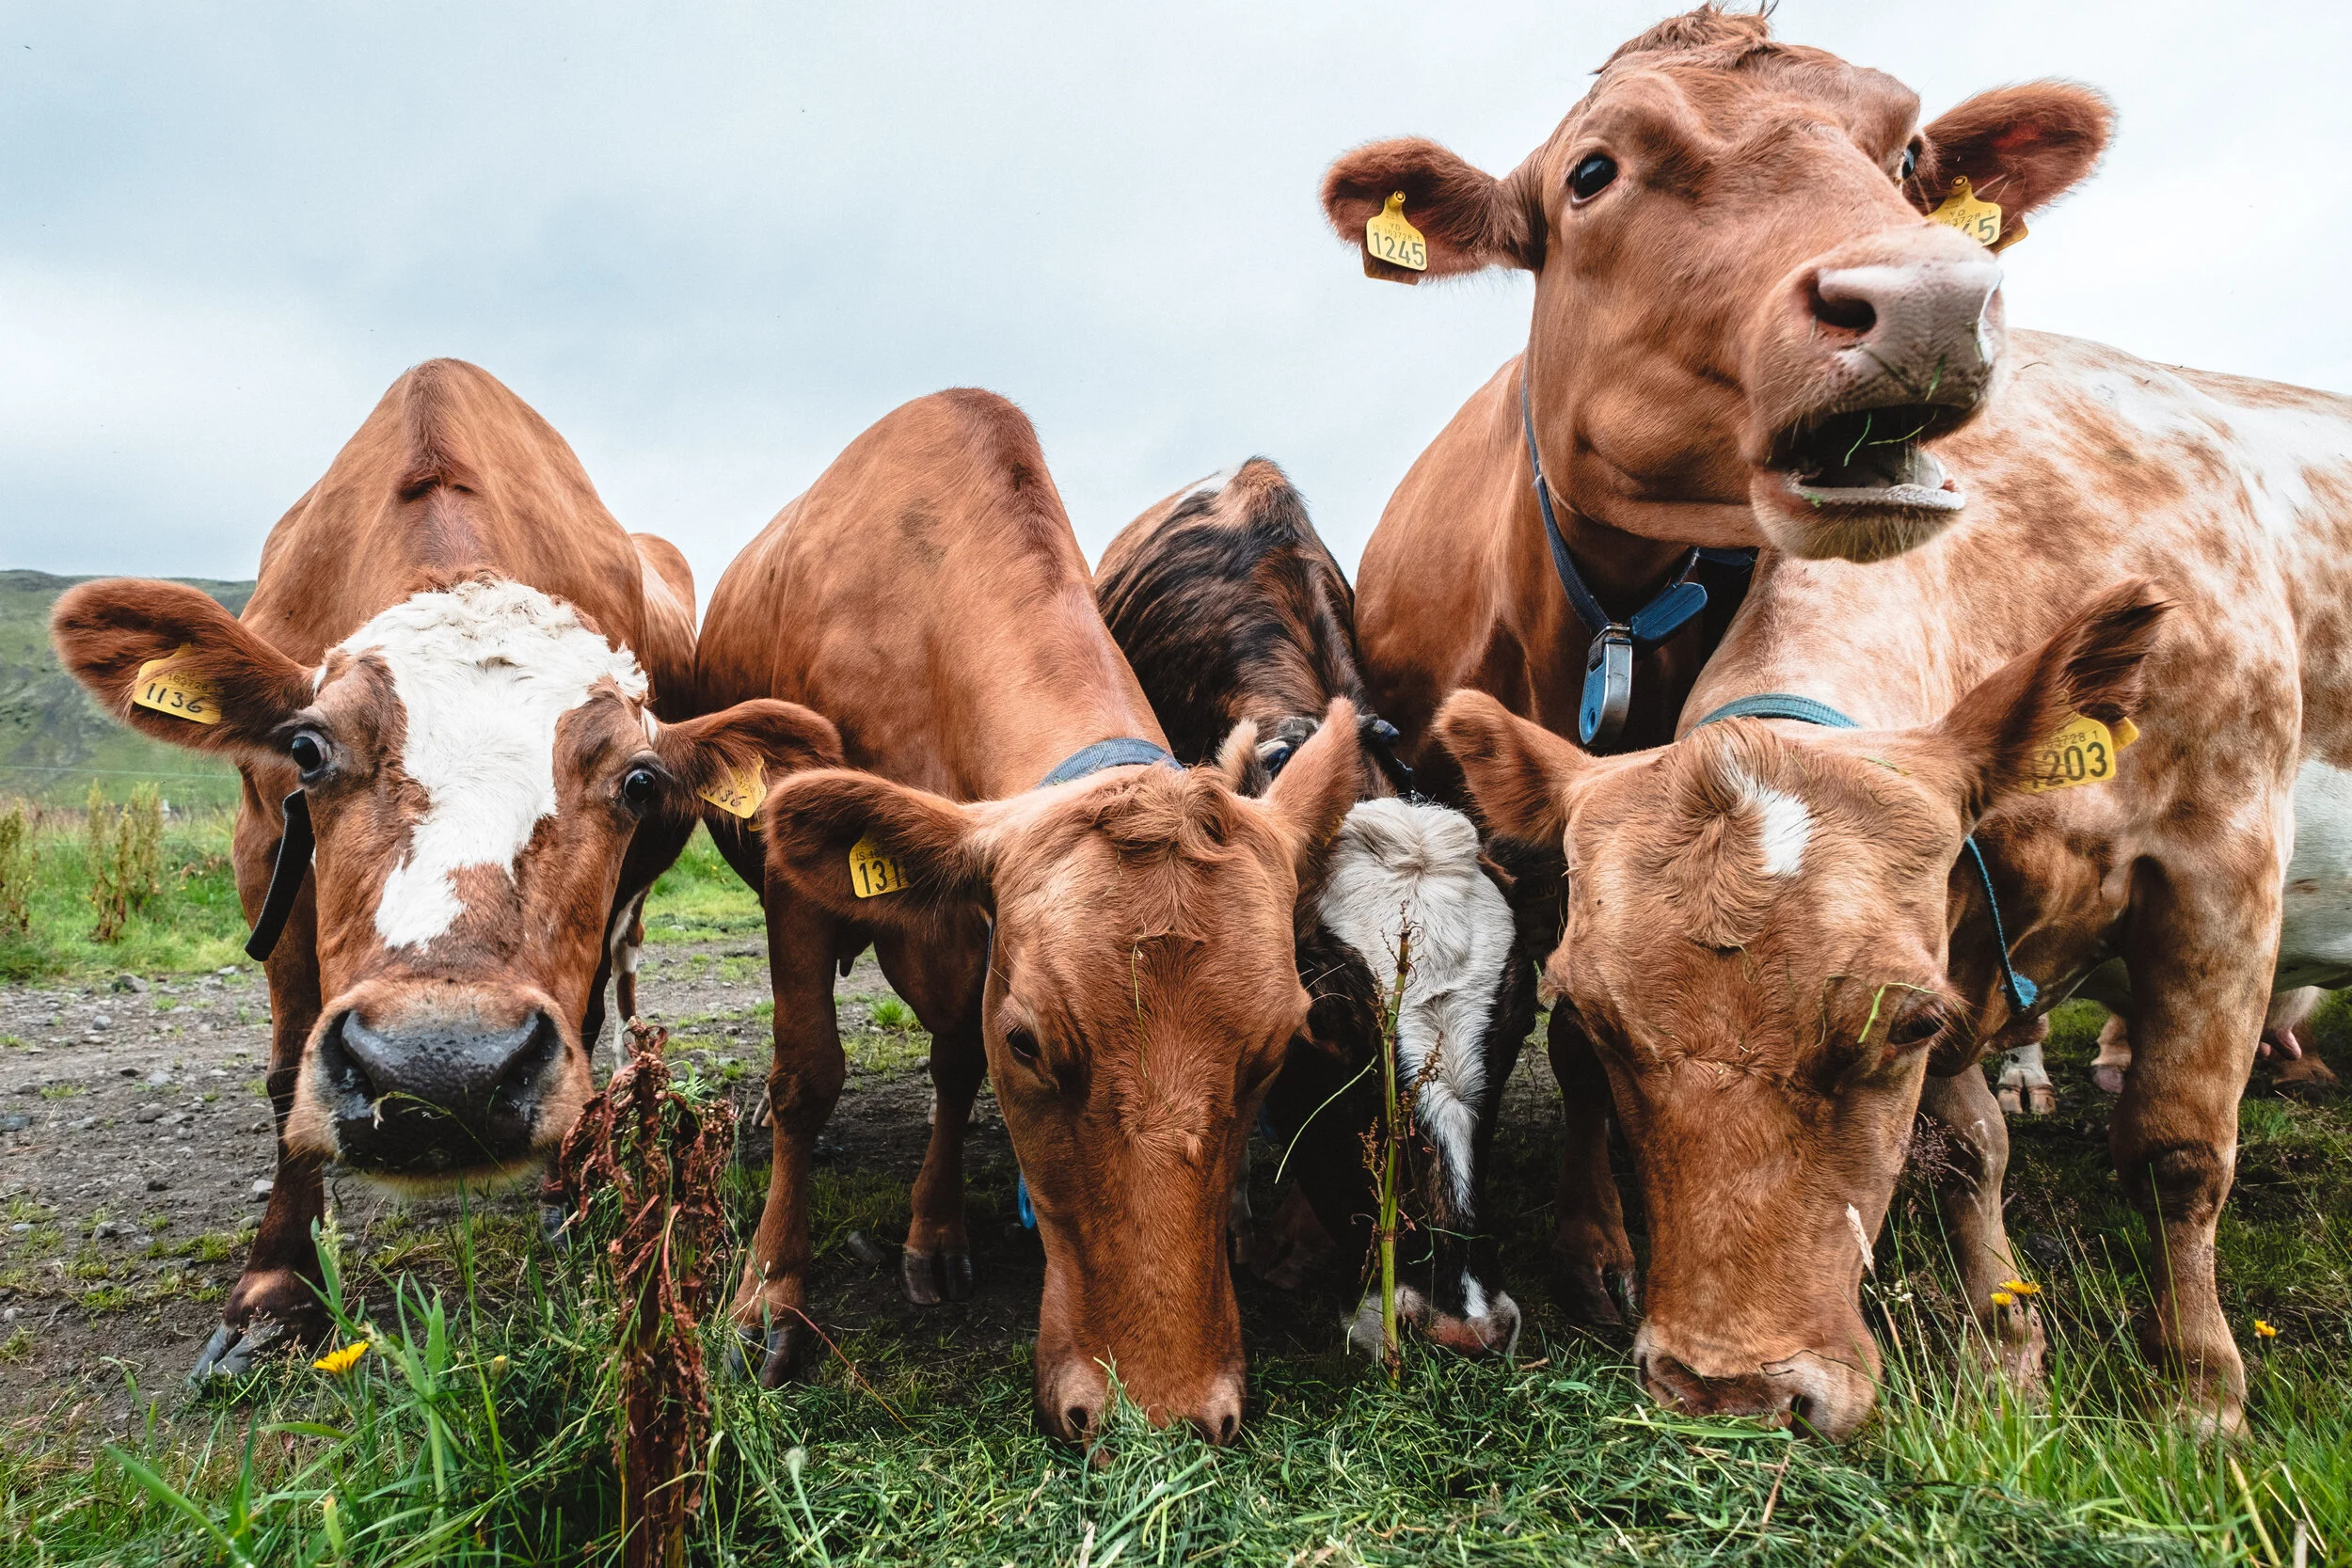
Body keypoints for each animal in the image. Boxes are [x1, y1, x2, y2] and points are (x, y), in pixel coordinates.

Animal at [49, 359, 840, 1378]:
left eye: (635, 779)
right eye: (306, 748)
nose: (440, 1070)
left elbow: (581, 1017)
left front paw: (566, 1194)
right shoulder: (264, 847)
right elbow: (287, 1067)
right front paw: (274, 1286)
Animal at [693, 391, 1366, 1444]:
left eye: (1274, 1052)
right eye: (1031, 1043)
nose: (1159, 1415)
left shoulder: (978, 934)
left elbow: (951, 1066)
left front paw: (934, 1233)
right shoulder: (792, 889)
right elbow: (809, 1076)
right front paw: (769, 1296)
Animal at [1319, 4, 2110, 1324]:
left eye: (1908, 158)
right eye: (1592, 172)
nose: (1931, 304)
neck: (1610, 625)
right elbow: (1571, 1022)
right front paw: (1597, 1239)